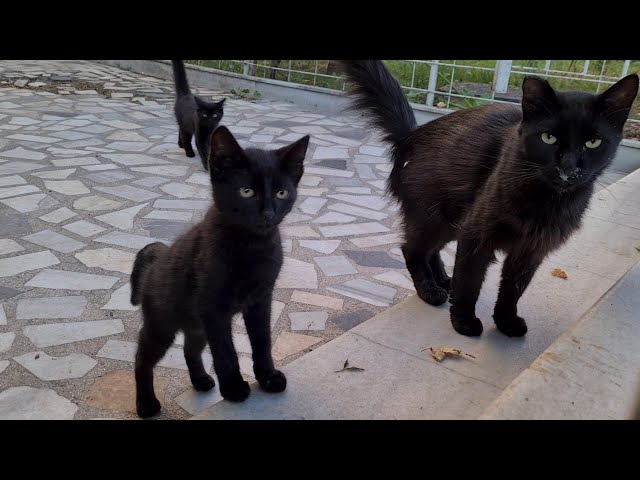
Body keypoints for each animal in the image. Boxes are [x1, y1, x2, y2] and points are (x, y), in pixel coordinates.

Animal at [130, 125, 310, 418]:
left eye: (282, 193)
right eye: (246, 191)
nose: (268, 214)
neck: (251, 246)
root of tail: (158, 258)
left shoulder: (261, 301)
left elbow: (262, 341)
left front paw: (267, 377)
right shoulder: (214, 309)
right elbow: (226, 352)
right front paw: (235, 388)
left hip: (196, 324)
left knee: (190, 349)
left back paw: (201, 380)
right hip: (162, 324)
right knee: (142, 358)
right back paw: (145, 404)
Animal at [340, 60, 636, 338]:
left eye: (593, 143)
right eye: (548, 137)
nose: (569, 168)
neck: (546, 200)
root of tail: (410, 135)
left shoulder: (530, 251)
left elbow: (513, 290)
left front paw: (506, 321)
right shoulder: (476, 235)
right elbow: (470, 282)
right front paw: (463, 321)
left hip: (451, 221)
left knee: (431, 251)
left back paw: (443, 280)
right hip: (434, 218)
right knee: (412, 249)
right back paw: (430, 291)